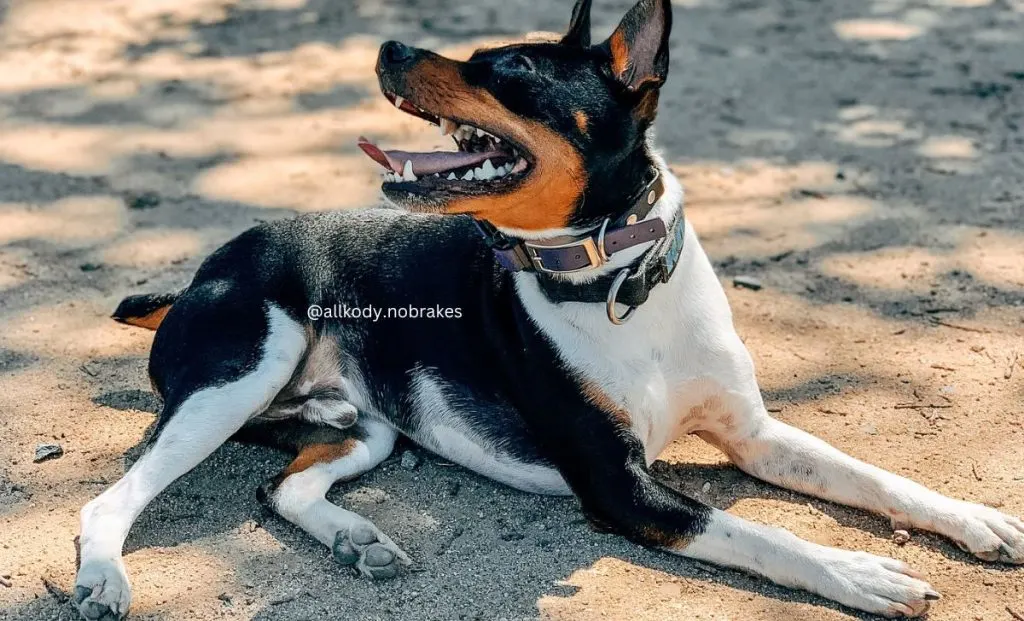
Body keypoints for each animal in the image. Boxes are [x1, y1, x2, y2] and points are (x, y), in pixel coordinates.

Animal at [74, 1, 1024, 618]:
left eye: (515, 69)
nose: (388, 43)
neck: (616, 284)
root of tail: (202, 272)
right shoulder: (623, 486)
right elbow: (767, 537)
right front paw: (861, 572)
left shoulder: (754, 434)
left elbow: (874, 476)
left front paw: (975, 517)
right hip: (245, 369)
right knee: (113, 500)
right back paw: (105, 578)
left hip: (368, 422)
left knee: (283, 485)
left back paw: (355, 537)